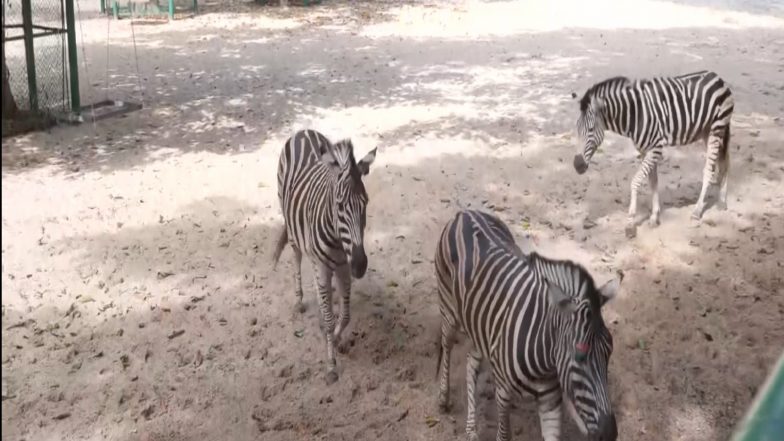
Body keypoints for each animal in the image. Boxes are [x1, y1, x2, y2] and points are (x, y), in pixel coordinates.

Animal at [272, 129, 377, 384]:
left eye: (366, 203)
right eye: (339, 206)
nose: (360, 265)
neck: (339, 242)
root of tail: (304, 131)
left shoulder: (343, 266)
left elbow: (345, 315)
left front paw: (336, 339)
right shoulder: (325, 265)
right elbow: (330, 321)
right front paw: (331, 365)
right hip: (292, 228)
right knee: (297, 259)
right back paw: (299, 300)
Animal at [435, 209, 621, 441]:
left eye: (609, 350)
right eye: (579, 356)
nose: (610, 432)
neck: (544, 361)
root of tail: (465, 213)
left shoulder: (551, 402)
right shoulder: (503, 392)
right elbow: (503, 435)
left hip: (480, 326)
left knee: (471, 365)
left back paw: (471, 429)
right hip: (449, 311)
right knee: (447, 346)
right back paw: (443, 399)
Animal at [573, 70, 734, 238]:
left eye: (591, 129)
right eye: (577, 128)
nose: (577, 165)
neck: (635, 115)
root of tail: (716, 77)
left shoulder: (655, 148)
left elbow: (635, 181)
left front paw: (630, 222)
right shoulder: (645, 150)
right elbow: (653, 182)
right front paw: (654, 216)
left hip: (716, 128)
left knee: (710, 169)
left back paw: (697, 211)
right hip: (706, 132)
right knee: (724, 161)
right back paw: (722, 201)